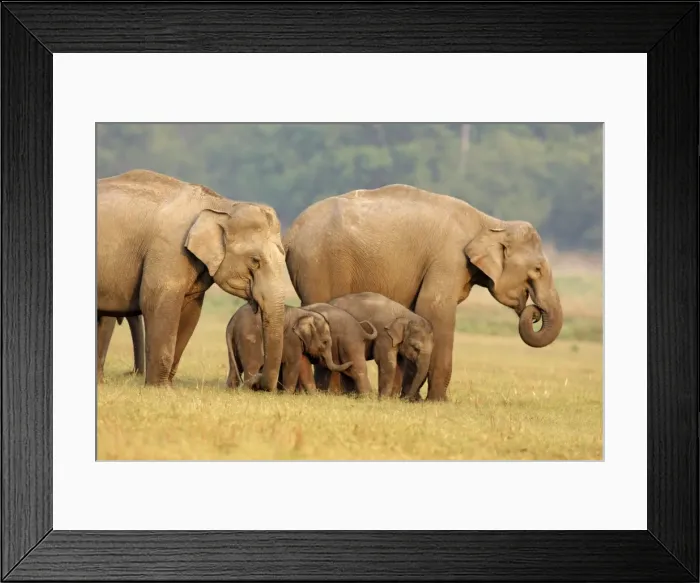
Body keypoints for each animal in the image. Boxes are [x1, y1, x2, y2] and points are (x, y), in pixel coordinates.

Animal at [97, 169, 287, 389]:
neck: (221, 205)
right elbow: (156, 302)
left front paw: (168, 386)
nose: (255, 381)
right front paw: (159, 388)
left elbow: (190, 311)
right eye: (255, 261)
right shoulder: (169, 250)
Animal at [283, 184, 564, 401]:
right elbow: (436, 311)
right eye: (537, 269)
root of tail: (290, 233)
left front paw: (409, 398)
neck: (490, 223)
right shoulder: (448, 260)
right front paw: (438, 401)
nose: (534, 312)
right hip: (319, 266)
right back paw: (330, 393)